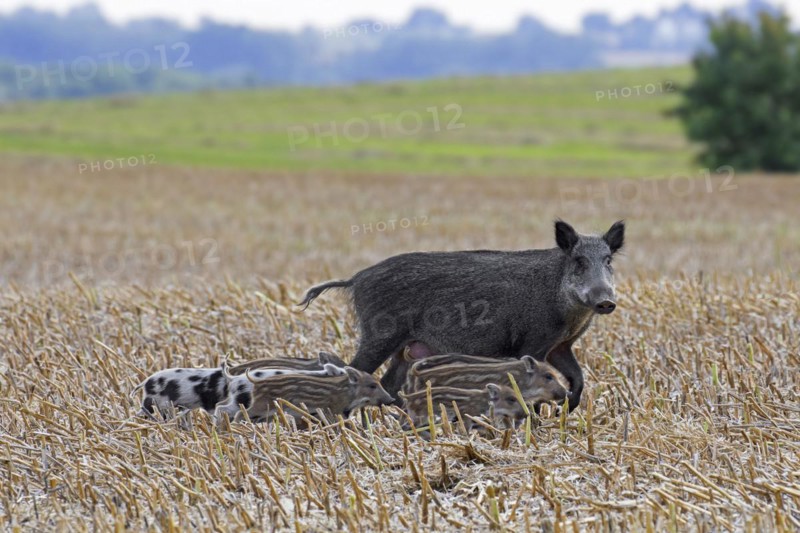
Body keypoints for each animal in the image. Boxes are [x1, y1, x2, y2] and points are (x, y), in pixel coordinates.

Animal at [236, 365, 394, 423]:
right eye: (372, 385)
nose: (391, 400)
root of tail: (256, 382)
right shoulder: (333, 410)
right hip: (262, 405)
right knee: (240, 413)